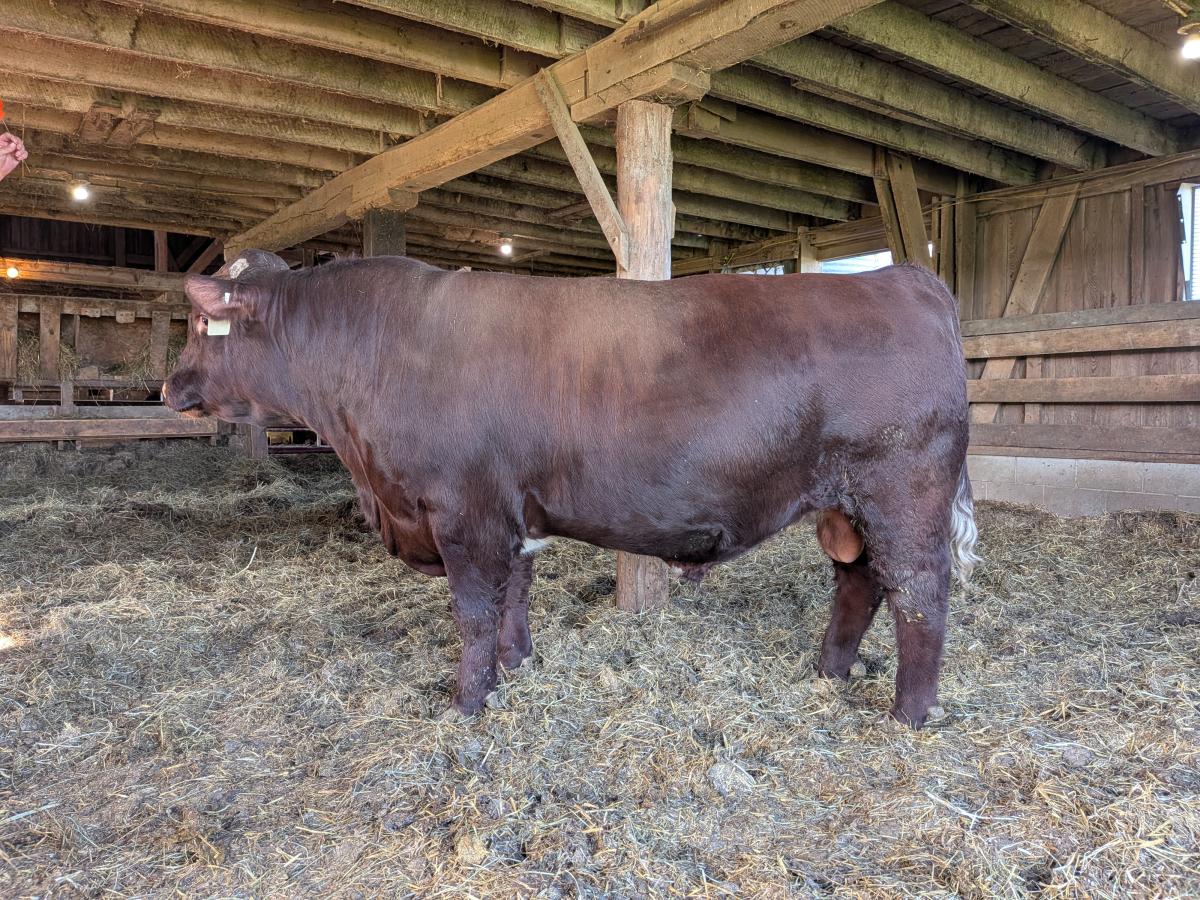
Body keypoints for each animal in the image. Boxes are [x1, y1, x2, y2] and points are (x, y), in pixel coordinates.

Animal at [164, 250, 979, 727]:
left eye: (204, 323)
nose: (170, 387)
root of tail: (902, 277)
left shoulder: (463, 512)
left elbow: (474, 613)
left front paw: (466, 702)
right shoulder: (514, 512)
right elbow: (515, 597)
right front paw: (518, 667)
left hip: (902, 492)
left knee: (919, 593)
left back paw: (908, 715)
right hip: (844, 506)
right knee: (860, 582)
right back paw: (827, 673)